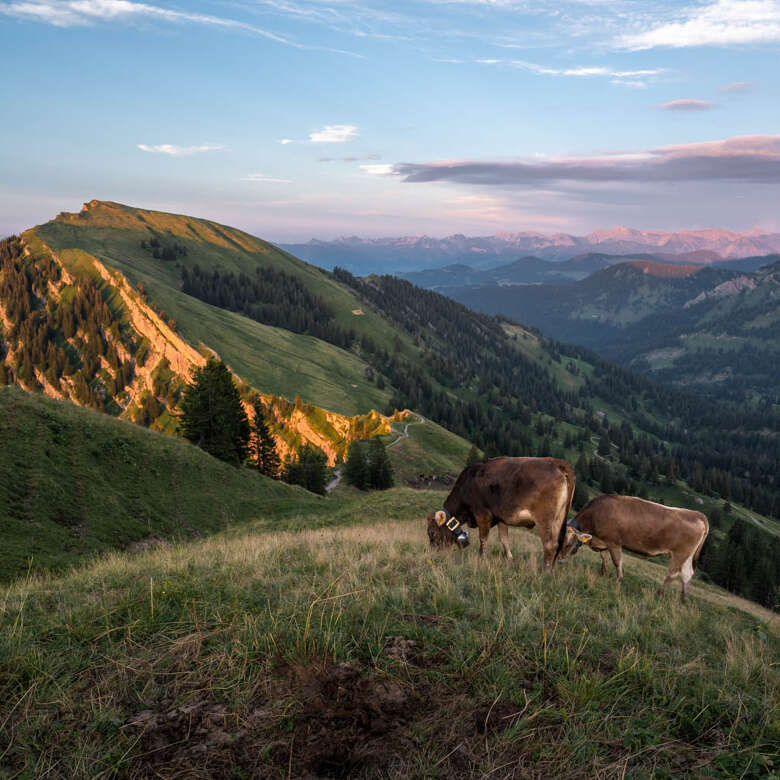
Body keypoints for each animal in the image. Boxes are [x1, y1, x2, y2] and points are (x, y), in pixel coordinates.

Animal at [430, 458, 576, 572]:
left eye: (432, 533)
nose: (433, 553)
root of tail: (556, 462)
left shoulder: (482, 514)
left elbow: (483, 538)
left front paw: (481, 558)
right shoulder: (501, 518)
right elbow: (504, 539)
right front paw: (509, 559)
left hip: (545, 519)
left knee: (550, 544)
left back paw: (545, 571)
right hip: (558, 519)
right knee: (559, 542)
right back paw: (551, 569)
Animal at [556, 494, 708, 604]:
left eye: (568, 544)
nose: (559, 561)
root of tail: (697, 514)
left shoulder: (614, 542)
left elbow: (617, 561)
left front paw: (618, 580)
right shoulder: (604, 542)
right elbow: (604, 558)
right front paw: (603, 573)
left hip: (679, 553)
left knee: (673, 573)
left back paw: (659, 594)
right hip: (687, 555)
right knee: (687, 574)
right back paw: (684, 600)